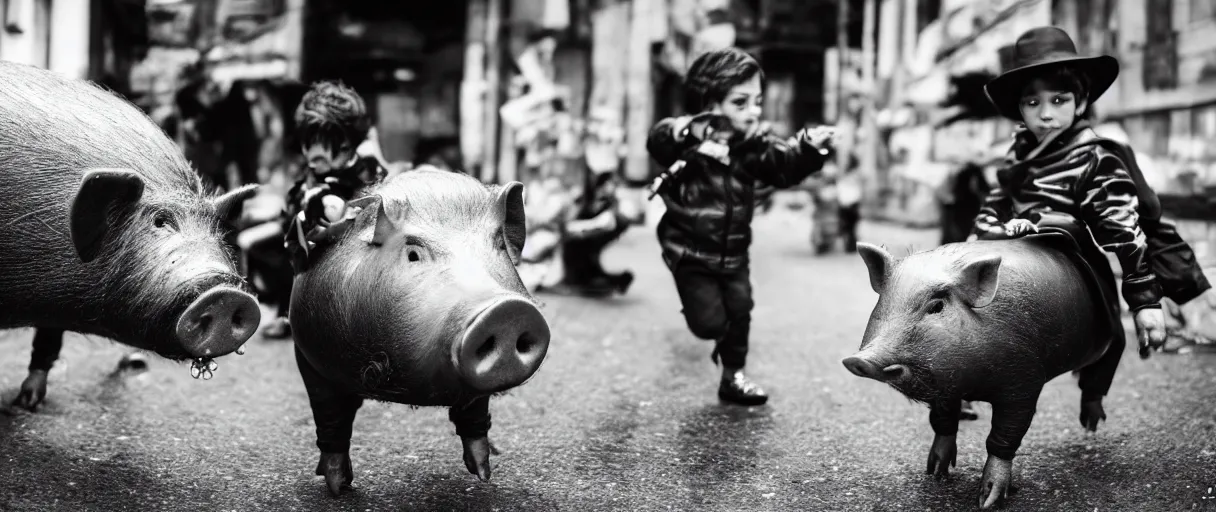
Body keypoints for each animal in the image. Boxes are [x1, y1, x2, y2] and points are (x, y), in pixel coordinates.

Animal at [286, 166, 549, 493]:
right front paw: (339, 489)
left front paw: (484, 476)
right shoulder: (309, 358)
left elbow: (474, 409)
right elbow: (331, 417)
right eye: (413, 254)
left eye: (499, 245)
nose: (507, 310)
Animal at [841, 221, 1123, 508]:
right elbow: (943, 421)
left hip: (1112, 329)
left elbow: (1006, 432)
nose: (857, 361)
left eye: (936, 306)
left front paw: (987, 500)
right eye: (883, 301)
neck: (972, 384)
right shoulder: (945, 385)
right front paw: (935, 473)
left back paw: (1091, 427)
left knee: (1105, 366)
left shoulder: (1026, 382)